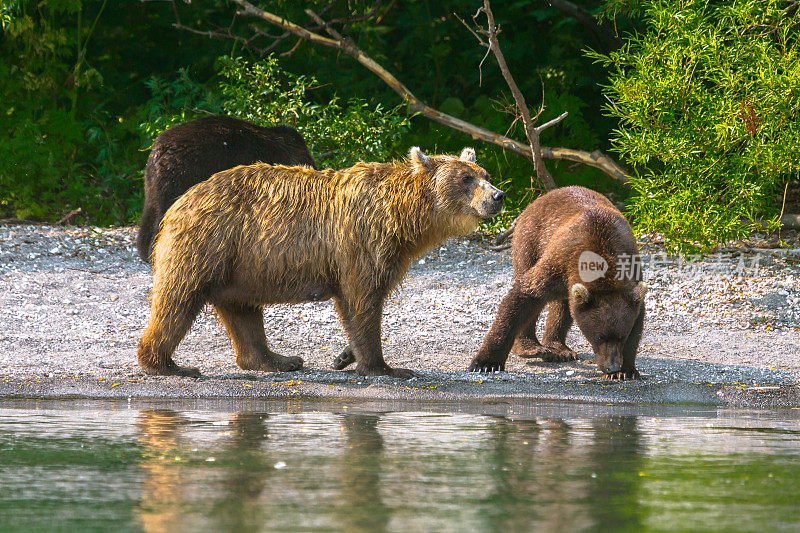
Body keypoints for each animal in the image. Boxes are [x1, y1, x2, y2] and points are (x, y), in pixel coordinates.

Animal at [134, 145, 504, 378]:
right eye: (466, 178)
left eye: (484, 173)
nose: (498, 195)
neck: (405, 219)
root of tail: (181, 200)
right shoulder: (361, 241)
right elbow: (361, 300)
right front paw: (386, 366)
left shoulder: (389, 252)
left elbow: (365, 303)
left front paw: (346, 355)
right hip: (208, 243)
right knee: (179, 298)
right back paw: (168, 364)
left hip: (239, 265)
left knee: (243, 310)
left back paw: (279, 360)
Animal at [468, 186, 644, 378]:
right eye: (599, 336)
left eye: (622, 336)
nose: (613, 366)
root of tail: (547, 195)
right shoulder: (561, 260)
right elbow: (524, 296)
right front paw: (485, 362)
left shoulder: (631, 269)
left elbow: (637, 319)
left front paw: (626, 370)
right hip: (530, 241)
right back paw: (532, 347)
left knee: (563, 305)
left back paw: (559, 348)